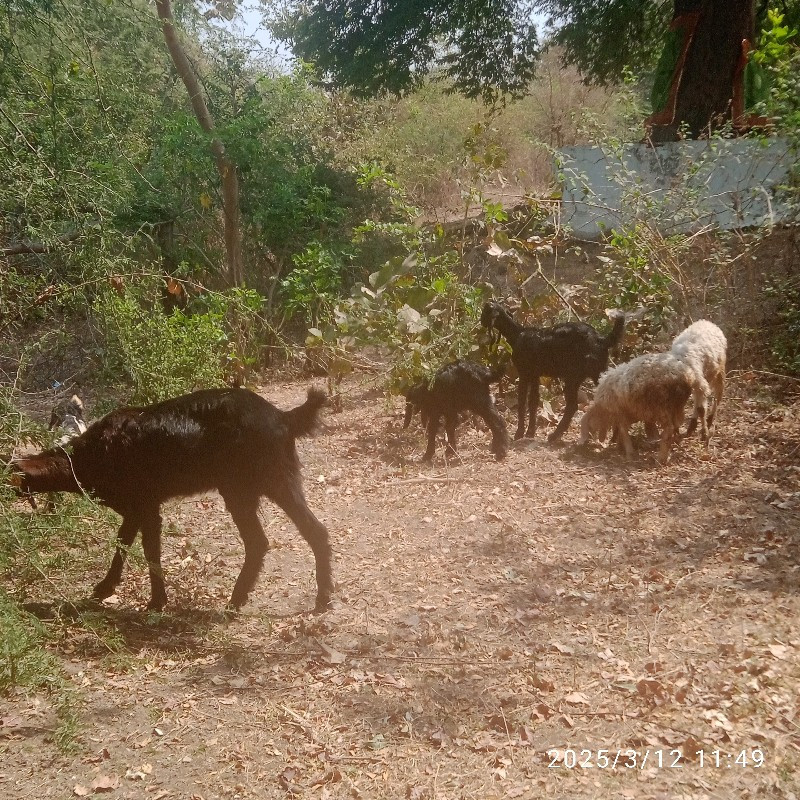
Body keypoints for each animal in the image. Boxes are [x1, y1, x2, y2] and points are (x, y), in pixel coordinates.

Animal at [7, 388, 332, 612]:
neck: (88, 455)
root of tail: (284, 417)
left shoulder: (144, 507)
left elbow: (145, 549)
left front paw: (152, 600)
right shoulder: (139, 509)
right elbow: (127, 544)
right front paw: (113, 589)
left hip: (248, 487)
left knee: (271, 539)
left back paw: (245, 599)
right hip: (272, 484)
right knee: (299, 534)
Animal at [482, 302, 624, 440]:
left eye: (485, 310)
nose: (481, 321)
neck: (517, 334)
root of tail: (602, 340)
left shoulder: (524, 374)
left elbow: (522, 403)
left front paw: (519, 433)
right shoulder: (534, 375)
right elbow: (533, 402)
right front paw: (530, 432)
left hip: (574, 376)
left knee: (573, 405)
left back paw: (555, 435)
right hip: (597, 373)